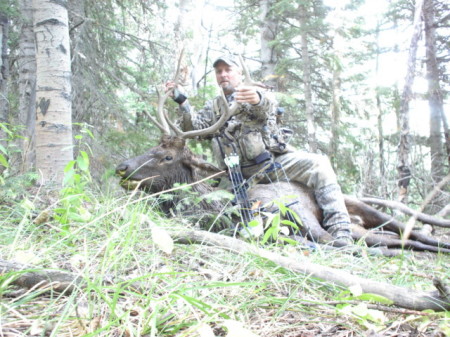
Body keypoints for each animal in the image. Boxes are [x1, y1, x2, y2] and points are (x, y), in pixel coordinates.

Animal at [116, 55, 450, 255]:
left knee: (410, 232)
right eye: (151, 148)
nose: (121, 167)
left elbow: (338, 243)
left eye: (167, 157)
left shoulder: (308, 222)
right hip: (363, 224)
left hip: (363, 208)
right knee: (401, 237)